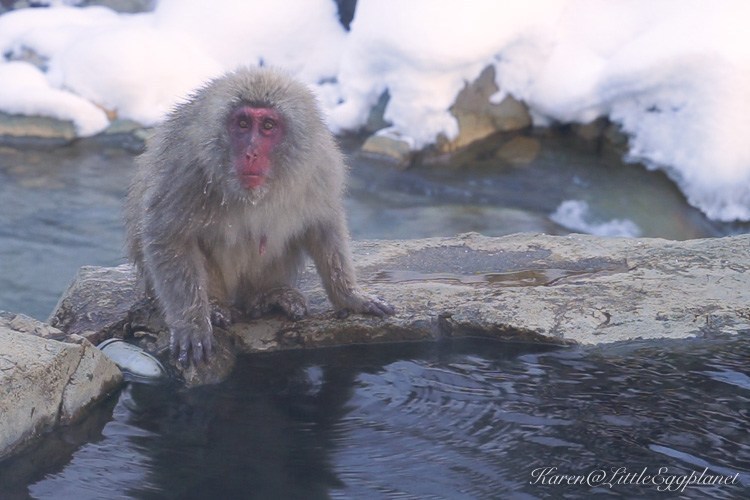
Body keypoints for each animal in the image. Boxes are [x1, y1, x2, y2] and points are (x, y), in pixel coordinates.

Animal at [125, 67, 394, 364]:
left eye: (267, 126)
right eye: (243, 123)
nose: (251, 153)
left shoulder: (319, 165)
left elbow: (323, 226)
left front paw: (349, 296)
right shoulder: (185, 165)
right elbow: (167, 235)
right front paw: (192, 323)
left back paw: (266, 297)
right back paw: (216, 307)